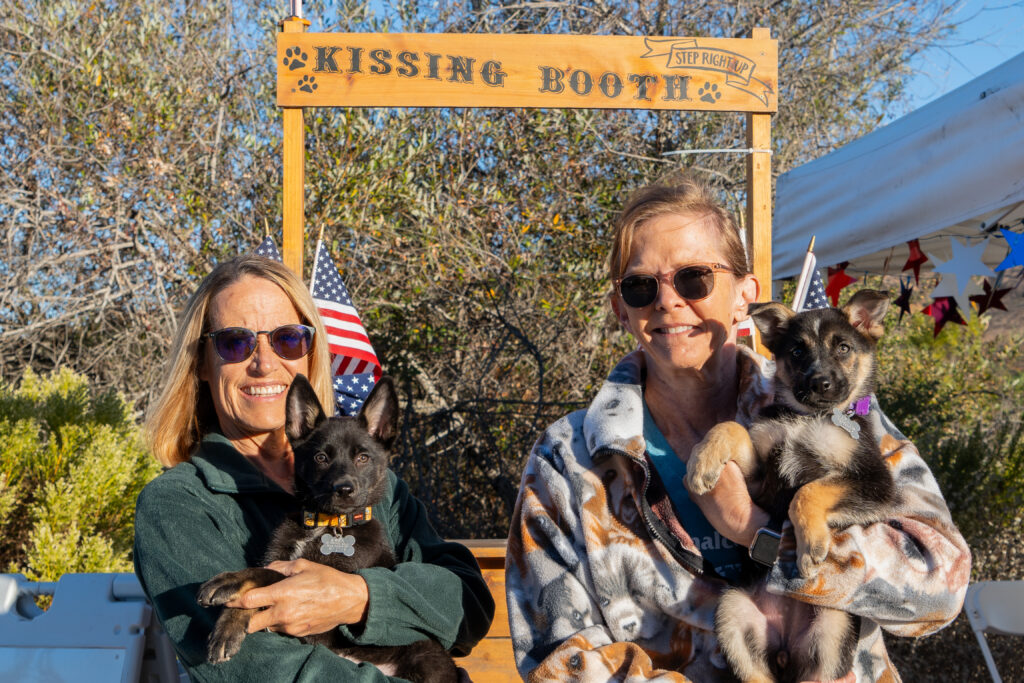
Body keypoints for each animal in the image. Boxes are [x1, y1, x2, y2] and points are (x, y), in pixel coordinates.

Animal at [194, 374, 456, 683]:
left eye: (363, 458)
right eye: (321, 458)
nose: (344, 489)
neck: (325, 525)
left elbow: (269, 574)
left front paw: (228, 582)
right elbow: (265, 577)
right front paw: (228, 625)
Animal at [688, 290, 897, 683]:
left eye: (843, 348)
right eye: (797, 351)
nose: (819, 383)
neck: (810, 416)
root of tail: (785, 645)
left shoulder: (874, 483)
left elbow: (808, 491)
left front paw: (811, 543)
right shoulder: (761, 474)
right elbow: (732, 428)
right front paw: (703, 460)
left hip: (832, 628)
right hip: (733, 614)